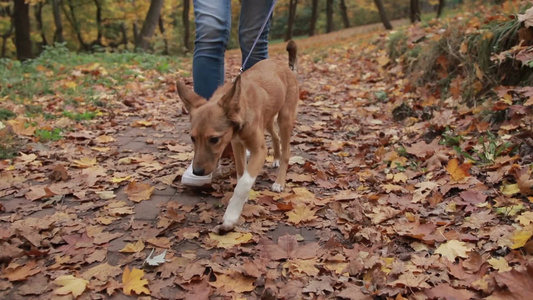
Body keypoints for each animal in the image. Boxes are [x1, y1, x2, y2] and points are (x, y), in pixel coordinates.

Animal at [177, 41, 298, 232]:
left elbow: (244, 183)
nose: (197, 172)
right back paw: (276, 159)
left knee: (287, 151)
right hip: (269, 119)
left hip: (285, 118)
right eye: (192, 138)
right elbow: (241, 172)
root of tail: (287, 67)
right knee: (276, 137)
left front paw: (231, 216)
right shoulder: (236, 144)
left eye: (214, 139)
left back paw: (280, 181)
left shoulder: (259, 150)